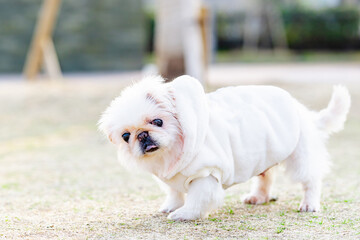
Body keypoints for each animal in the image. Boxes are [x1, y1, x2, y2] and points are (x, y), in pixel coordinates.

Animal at [97, 75, 348, 221]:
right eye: (126, 136)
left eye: (157, 122)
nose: (142, 135)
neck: (169, 155)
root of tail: (301, 110)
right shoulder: (171, 177)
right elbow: (175, 193)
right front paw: (171, 206)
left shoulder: (205, 176)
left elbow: (196, 201)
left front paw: (183, 214)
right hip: (264, 156)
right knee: (266, 177)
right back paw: (259, 197)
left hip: (300, 158)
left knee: (310, 180)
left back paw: (309, 204)